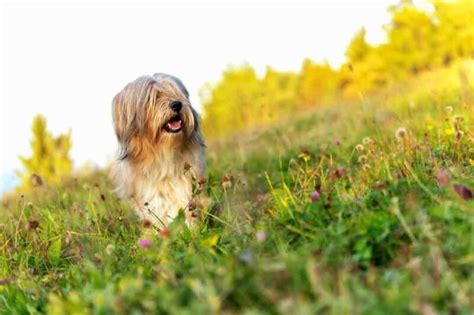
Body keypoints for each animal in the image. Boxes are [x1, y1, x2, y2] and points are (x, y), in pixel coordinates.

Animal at [113, 73, 207, 227]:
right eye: (154, 97)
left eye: (174, 91)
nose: (177, 104)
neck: (162, 151)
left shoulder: (184, 182)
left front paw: (191, 227)